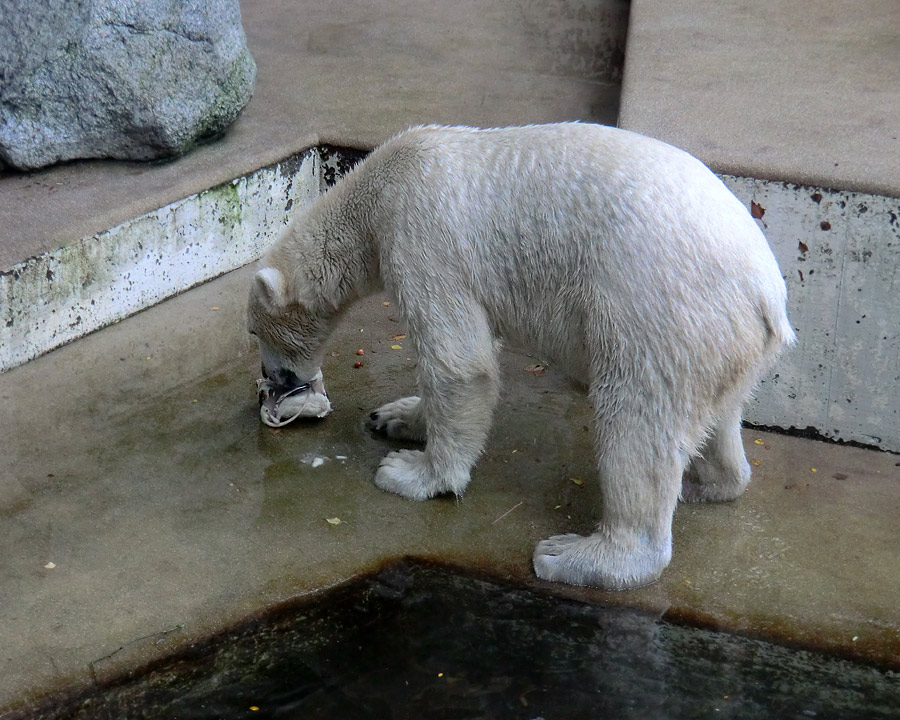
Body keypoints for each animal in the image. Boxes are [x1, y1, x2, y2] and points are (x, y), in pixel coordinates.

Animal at [248, 122, 796, 592]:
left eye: (253, 332)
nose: (272, 381)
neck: (377, 189)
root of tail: (765, 293)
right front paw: (396, 418)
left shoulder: (421, 236)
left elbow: (459, 362)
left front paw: (411, 473)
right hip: (718, 339)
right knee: (716, 416)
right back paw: (707, 482)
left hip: (660, 312)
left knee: (637, 423)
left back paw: (576, 555)